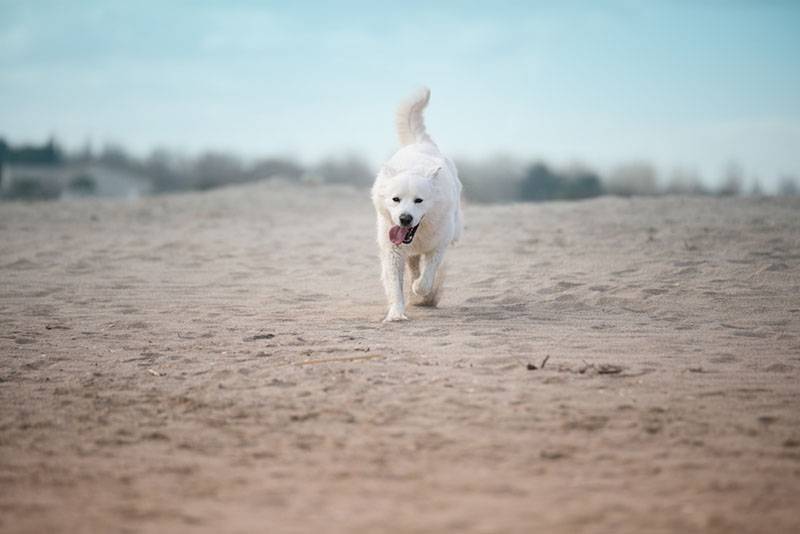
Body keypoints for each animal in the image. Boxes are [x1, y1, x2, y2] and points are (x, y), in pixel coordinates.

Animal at [370, 87, 462, 322]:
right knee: (412, 264)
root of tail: (420, 143)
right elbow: (395, 285)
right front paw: (396, 313)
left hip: (455, 229)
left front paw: (420, 292)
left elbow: (426, 279)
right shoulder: (392, 251)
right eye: (396, 199)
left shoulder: (438, 245)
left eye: (419, 200)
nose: (405, 218)